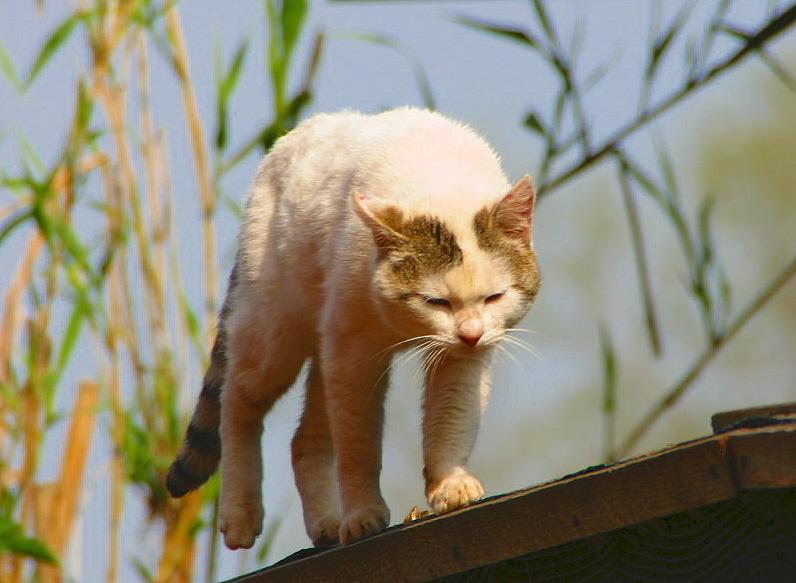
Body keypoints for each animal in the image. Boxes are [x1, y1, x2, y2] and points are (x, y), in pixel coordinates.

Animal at [166, 106, 540, 552]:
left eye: (494, 297)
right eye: (436, 301)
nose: (470, 334)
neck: (441, 180)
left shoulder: (459, 357)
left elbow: (452, 415)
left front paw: (449, 485)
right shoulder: (353, 354)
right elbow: (359, 446)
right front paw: (363, 515)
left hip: (322, 347)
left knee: (303, 440)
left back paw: (326, 525)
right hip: (275, 334)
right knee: (236, 400)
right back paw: (241, 515)